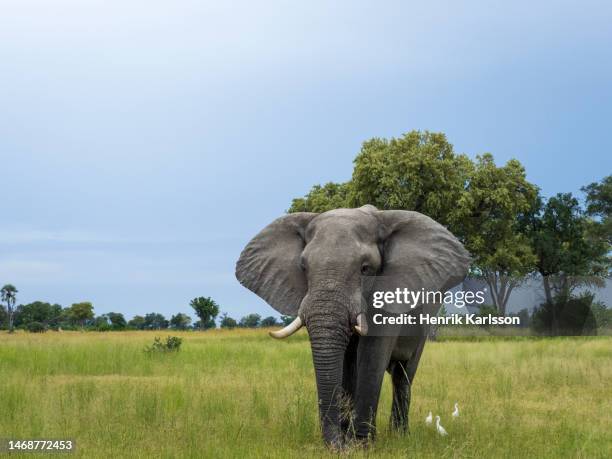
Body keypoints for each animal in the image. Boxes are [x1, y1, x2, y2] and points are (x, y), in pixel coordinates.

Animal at [234, 205, 468, 450]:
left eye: (365, 268)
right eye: (304, 267)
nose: (337, 446)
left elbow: (372, 353)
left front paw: (362, 445)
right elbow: (346, 363)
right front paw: (348, 441)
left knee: (403, 374)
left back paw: (399, 436)